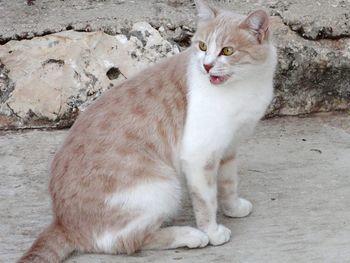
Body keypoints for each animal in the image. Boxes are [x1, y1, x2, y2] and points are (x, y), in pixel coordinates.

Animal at [18, 1, 276, 262]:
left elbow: (228, 183)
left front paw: (233, 207)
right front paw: (212, 232)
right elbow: (207, 201)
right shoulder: (199, 156)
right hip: (162, 186)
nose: (206, 65)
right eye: (202, 46)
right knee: (126, 242)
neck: (244, 85)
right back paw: (190, 235)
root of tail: (63, 223)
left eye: (227, 51)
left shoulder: (228, 147)